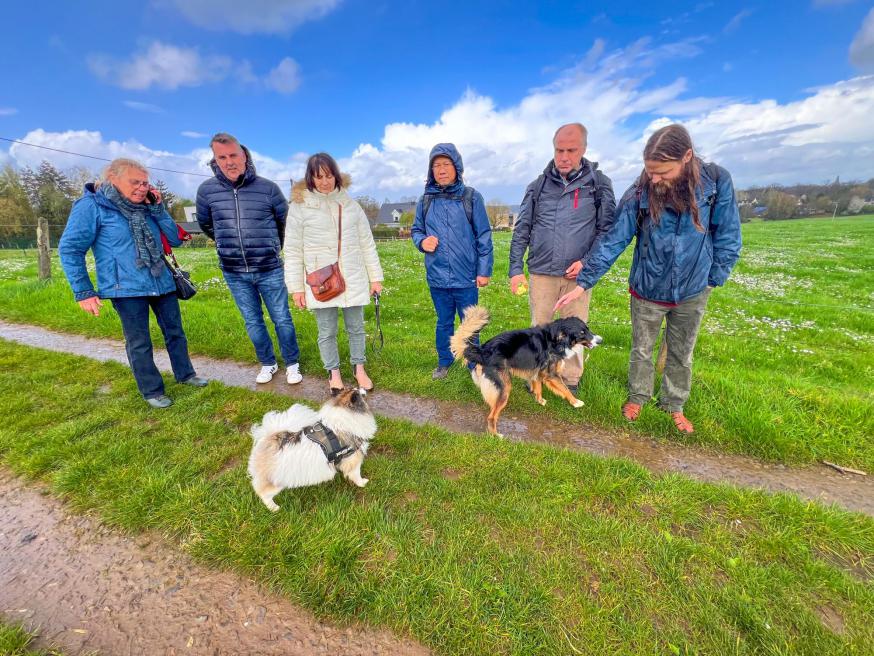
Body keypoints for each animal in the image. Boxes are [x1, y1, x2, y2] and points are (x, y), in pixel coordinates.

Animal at [249, 386, 378, 510]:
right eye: (359, 392)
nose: (364, 389)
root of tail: (267, 439)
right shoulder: (353, 459)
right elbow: (356, 474)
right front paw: (363, 483)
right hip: (276, 480)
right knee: (263, 493)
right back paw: (274, 508)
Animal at [450, 306, 600, 436]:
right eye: (582, 333)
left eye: (588, 329)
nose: (600, 340)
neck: (556, 339)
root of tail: (483, 350)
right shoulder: (551, 375)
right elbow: (565, 389)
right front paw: (576, 402)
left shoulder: (538, 371)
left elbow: (538, 386)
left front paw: (540, 400)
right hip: (505, 387)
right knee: (492, 416)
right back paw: (495, 435)